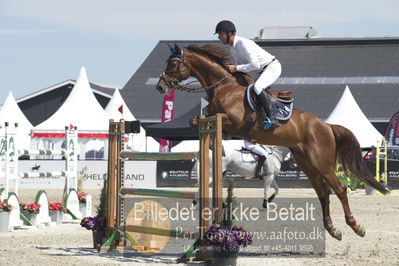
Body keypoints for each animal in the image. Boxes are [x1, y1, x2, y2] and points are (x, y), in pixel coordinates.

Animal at [155, 42, 390, 240]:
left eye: (173, 63)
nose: (160, 87)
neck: (224, 87)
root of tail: (326, 126)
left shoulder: (235, 122)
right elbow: (195, 120)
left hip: (321, 162)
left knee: (339, 189)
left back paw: (355, 226)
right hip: (307, 163)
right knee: (323, 193)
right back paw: (332, 229)